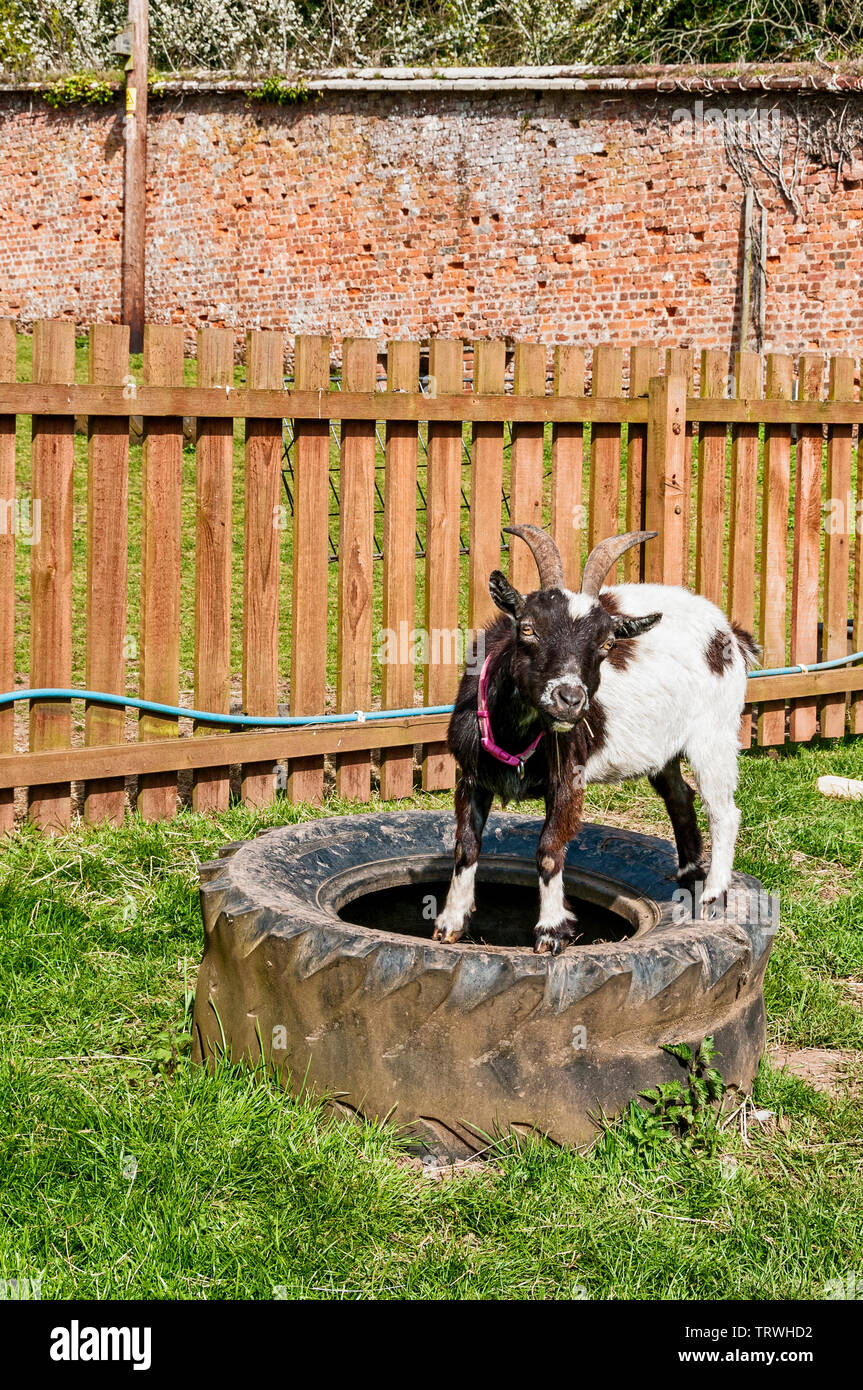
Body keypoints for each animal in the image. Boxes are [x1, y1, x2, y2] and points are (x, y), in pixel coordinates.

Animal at [430, 522, 755, 956]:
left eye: (606, 643)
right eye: (528, 628)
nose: (569, 699)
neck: (516, 735)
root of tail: (729, 633)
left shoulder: (569, 778)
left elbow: (550, 850)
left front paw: (551, 931)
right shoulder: (471, 776)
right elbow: (466, 845)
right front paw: (450, 923)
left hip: (714, 733)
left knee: (723, 811)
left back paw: (714, 896)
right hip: (665, 748)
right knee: (680, 797)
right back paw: (690, 876)